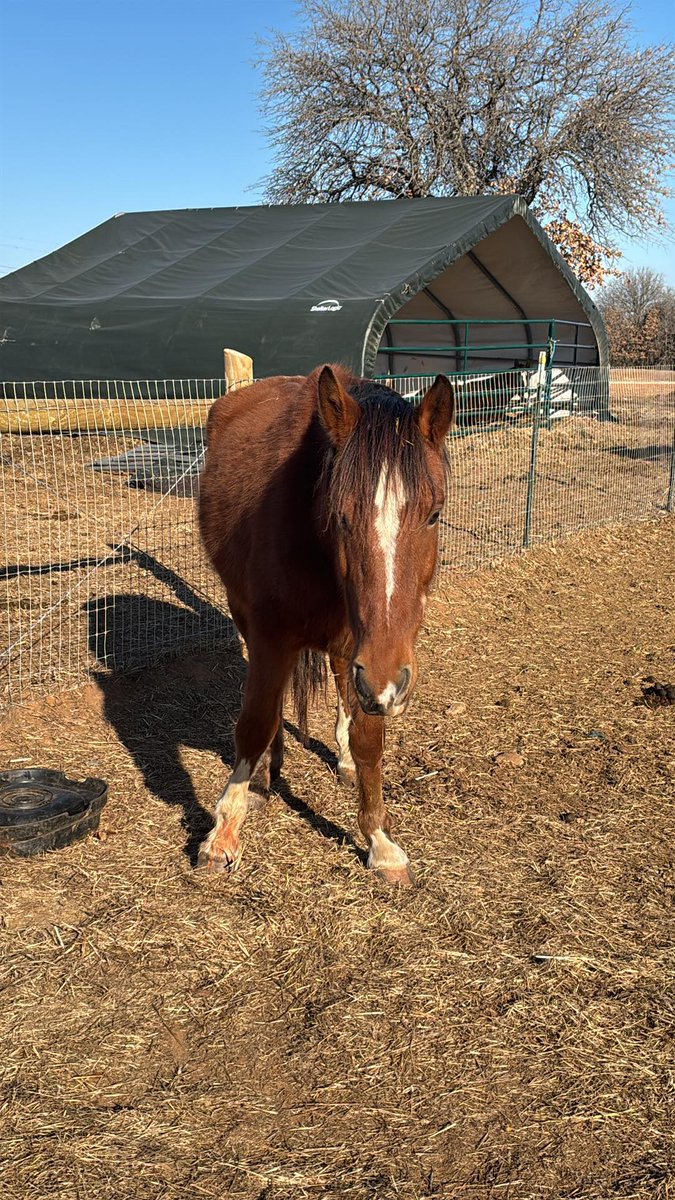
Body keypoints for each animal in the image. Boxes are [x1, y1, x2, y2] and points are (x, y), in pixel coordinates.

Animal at [197, 363, 454, 885]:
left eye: (434, 515)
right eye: (341, 516)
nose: (387, 684)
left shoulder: (368, 650)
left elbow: (368, 738)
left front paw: (379, 841)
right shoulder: (273, 638)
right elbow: (255, 723)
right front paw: (223, 833)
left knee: (339, 681)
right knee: (275, 708)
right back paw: (265, 774)